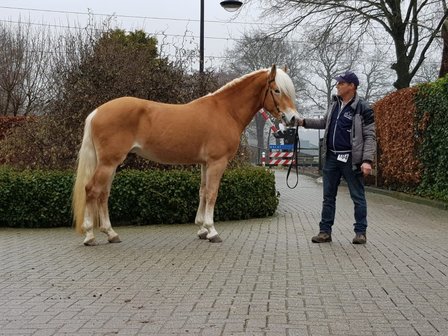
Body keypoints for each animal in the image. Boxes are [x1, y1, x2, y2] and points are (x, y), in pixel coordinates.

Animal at [72, 64, 298, 245]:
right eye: (277, 90)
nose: (294, 118)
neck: (225, 110)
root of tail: (97, 112)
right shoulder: (217, 162)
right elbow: (212, 193)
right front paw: (212, 231)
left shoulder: (205, 163)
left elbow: (203, 191)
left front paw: (202, 229)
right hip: (108, 162)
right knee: (92, 190)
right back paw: (90, 235)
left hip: (111, 163)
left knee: (103, 193)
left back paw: (111, 234)